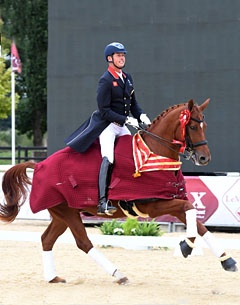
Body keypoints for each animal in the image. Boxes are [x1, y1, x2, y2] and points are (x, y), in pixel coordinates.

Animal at [0, 98, 237, 284]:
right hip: (66, 211)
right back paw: (118, 274)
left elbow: (198, 222)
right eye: (193, 127)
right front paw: (185, 247)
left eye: (205, 125)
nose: (204, 158)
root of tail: (40, 165)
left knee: (47, 239)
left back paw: (53, 277)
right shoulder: (154, 205)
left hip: (62, 213)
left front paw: (227, 261)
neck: (154, 153)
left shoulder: (170, 199)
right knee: (83, 242)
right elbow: (190, 210)